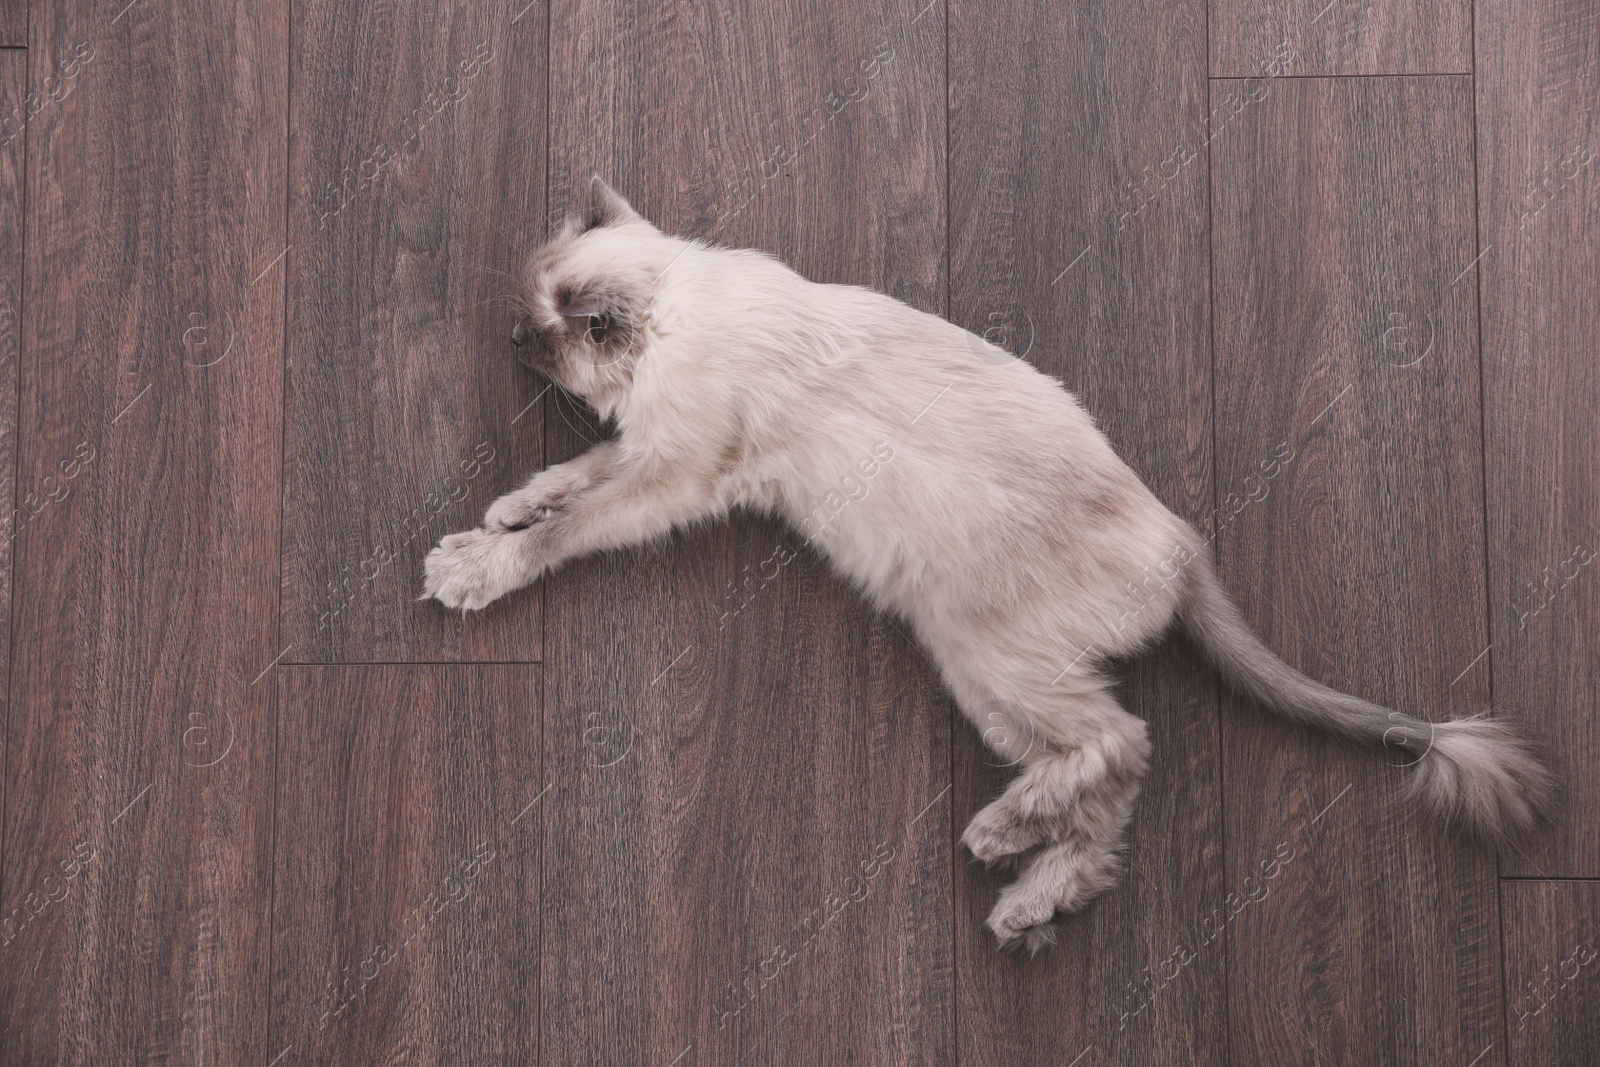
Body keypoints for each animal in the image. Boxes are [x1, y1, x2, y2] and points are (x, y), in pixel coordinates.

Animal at [422, 175, 1548, 953]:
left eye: (536, 334)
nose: (509, 340)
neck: (682, 313)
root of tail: (1183, 543)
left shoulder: (676, 475)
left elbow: (565, 530)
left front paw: (475, 567)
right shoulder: (648, 453)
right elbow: (567, 477)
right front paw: (499, 513)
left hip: (974, 645)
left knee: (1117, 744)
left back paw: (1001, 839)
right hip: (993, 671)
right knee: (1109, 799)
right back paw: (1028, 895)